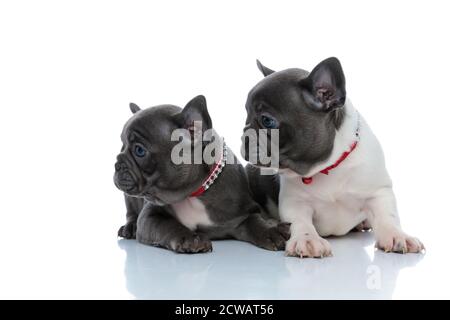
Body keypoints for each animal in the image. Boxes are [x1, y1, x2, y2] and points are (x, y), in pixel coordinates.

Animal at [112, 94, 288, 252]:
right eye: (122, 145)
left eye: (139, 150)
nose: (117, 163)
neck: (193, 194)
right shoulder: (149, 216)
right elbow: (168, 225)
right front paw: (190, 238)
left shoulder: (243, 215)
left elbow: (256, 222)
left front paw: (271, 231)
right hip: (130, 199)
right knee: (131, 212)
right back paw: (129, 227)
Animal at [241, 57, 424, 258]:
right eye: (246, 114)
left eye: (267, 120)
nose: (244, 134)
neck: (328, 167)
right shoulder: (295, 202)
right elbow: (299, 221)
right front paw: (307, 239)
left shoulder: (378, 191)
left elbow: (387, 216)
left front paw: (397, 235)